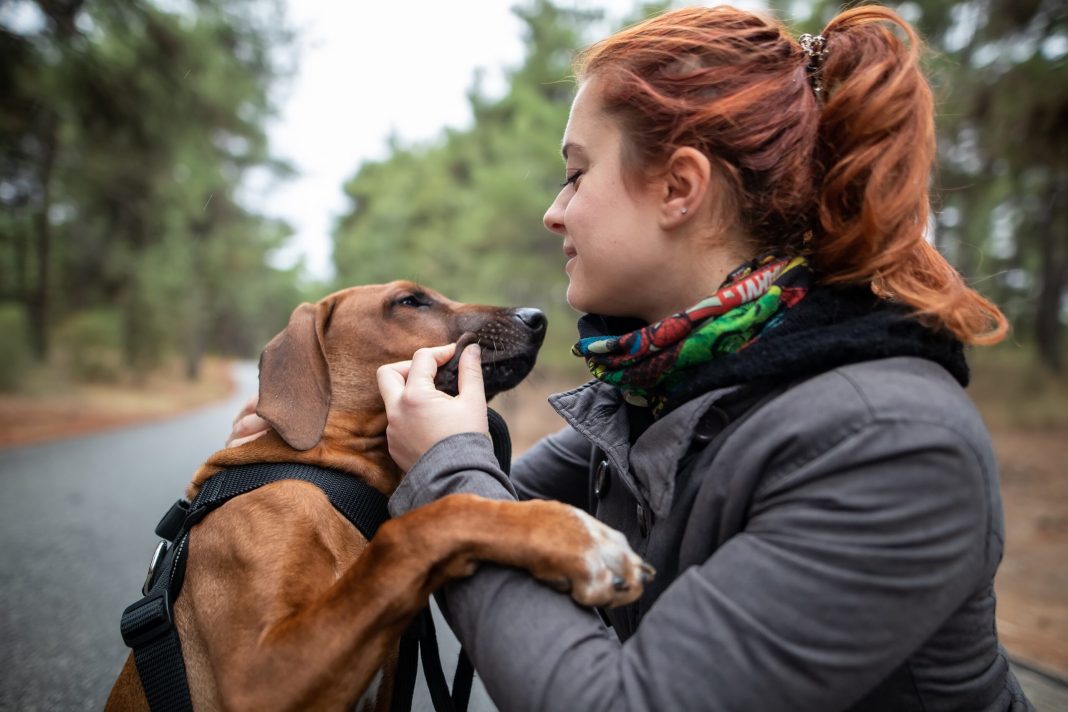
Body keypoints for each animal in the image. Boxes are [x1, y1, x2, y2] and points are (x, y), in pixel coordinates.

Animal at [110, 281, 649, 712]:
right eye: (409, 301)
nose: (536, 318)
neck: (325, 470)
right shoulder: (258, 679)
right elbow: (420, 525)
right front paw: (575, 539)